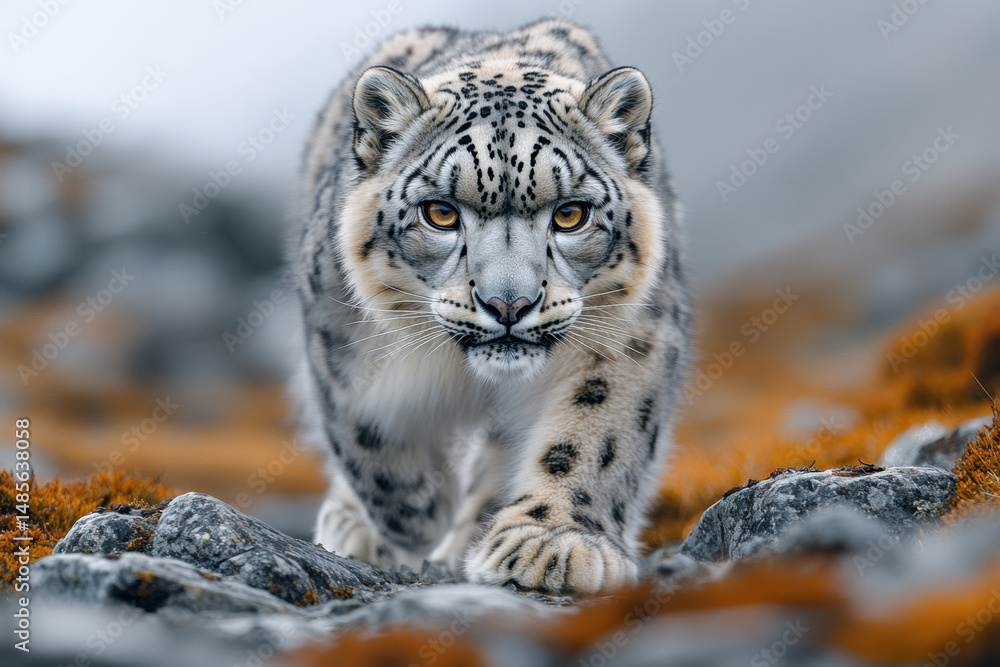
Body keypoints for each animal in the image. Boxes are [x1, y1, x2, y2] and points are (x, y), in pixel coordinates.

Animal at [288, 18, 690, 595]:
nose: (508, 303)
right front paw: (421, 513)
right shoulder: (337, 333)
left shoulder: (630, 333)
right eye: (439, 213)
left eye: (570, 215)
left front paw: (552, 543)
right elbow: (366, 437)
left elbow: (597, 430)